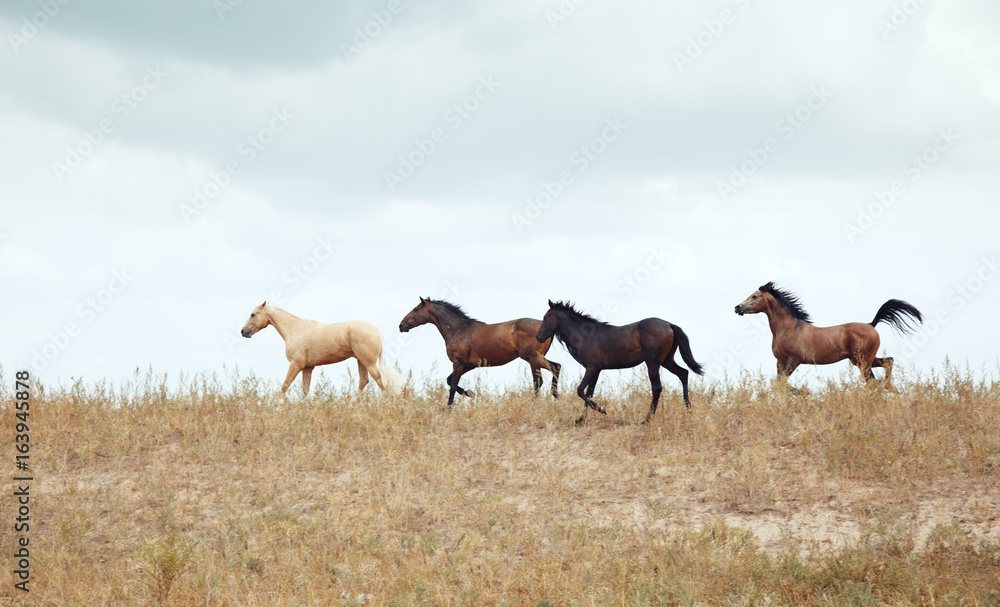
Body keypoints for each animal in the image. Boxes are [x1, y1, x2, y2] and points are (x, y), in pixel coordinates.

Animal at [240, 301, 403, 397]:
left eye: (253, 314)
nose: (243, 331)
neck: (295, 330)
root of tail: (377, 330)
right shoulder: (307, 368)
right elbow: (305, 390)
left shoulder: (296, 364)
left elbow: (284, 387)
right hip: (361, 361)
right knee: (364, 381)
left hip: (368, 362)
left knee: (380, 381)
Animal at [398, 297, 561, 406]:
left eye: (416, 309)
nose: (401, 325)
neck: (459, 330)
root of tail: (544, 329)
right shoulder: (468, 365)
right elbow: (450, 381)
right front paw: (470, 393)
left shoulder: (458, 363)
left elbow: (452, 386)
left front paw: (448, 410)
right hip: (532, 360)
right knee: (538, 381)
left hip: (533, 357)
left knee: (555, 367)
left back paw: (555, 395)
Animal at [535, 300, 705, 424]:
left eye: (545, 317)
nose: (538, 337)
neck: (586, 335)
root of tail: (669, 324)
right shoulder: (596, 370)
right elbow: (588, 393)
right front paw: (581, 419)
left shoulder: (592, 368)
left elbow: (580, 390)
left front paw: (602, 409)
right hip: (667, 360)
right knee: (683, 373)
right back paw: (688, 409)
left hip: (653, 363)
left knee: (657, 387)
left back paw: (647, 419)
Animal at [734, 281, 923, 385]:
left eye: (755, 296)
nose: (737, 307)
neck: (788, 329)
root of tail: (872, 324)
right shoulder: (780, 361)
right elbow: (778, 384)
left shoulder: (794, 360)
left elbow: (782, 384)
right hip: (861, 360)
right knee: (887, 362)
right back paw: (890, 389)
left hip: (862, 361)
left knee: (872, 381)